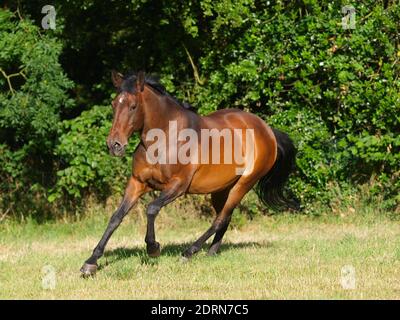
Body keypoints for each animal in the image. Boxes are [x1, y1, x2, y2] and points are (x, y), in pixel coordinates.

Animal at [79, 71, 298, 276]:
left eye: (133, 106)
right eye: (113, 104)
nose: (114, 145)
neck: (164, 139)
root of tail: (267, 130)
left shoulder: (178, 185)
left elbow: (151, 208)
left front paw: (153, 248)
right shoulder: (137, 183)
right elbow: (116, 217)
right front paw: (91, 263)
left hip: (243, 184)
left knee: (220, 219)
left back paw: (188, 252)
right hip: (221, 189)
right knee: (224, 218)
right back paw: (211, 253)